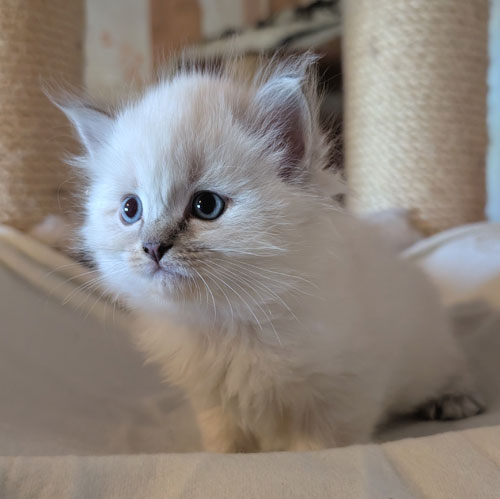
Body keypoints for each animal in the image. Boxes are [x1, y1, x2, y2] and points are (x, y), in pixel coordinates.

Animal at [57, 55, 483, 452]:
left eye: (206, 206)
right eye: (131, 210)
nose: (152, 247)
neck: (227, 324)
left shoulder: (342, 395)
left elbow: (324, 450)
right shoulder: (215, 403)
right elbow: (226, 444)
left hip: (430, 350)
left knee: (455, 370)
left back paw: (455, 402)